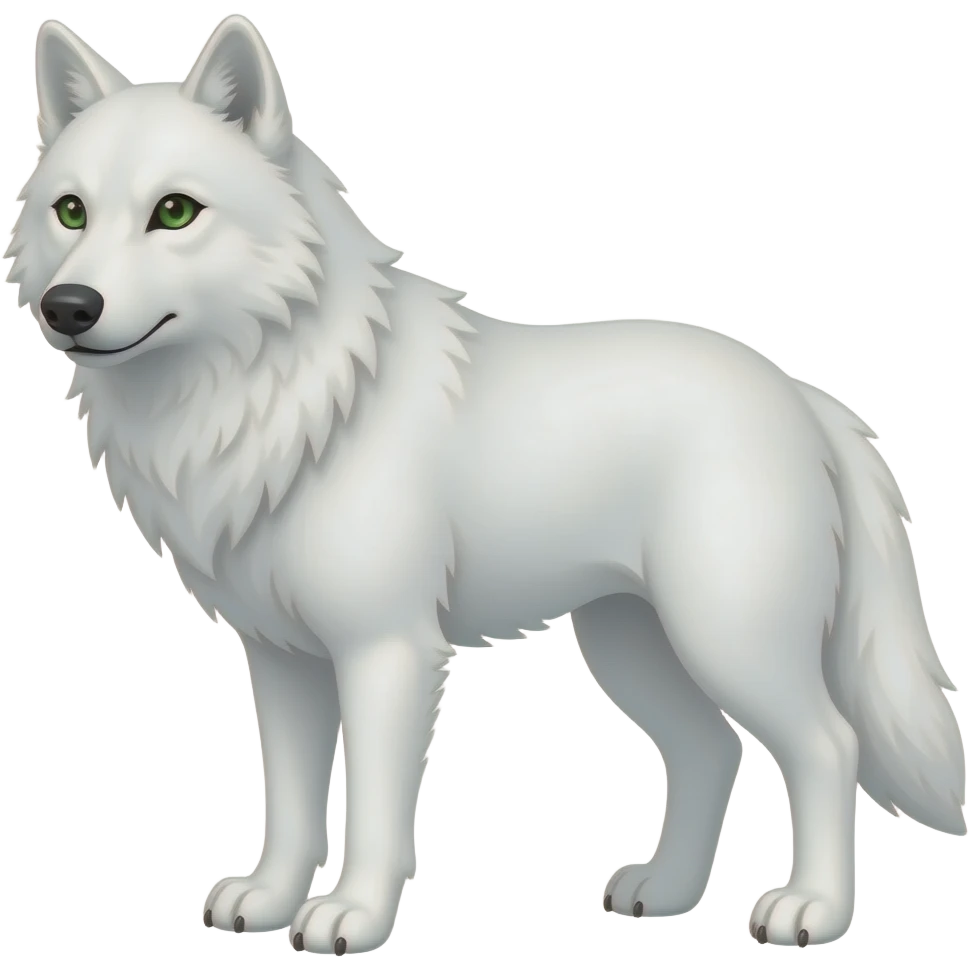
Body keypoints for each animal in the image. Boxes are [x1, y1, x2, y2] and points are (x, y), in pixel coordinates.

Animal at [6, 13, 965, 955]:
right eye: (70, 211)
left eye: (174, 212)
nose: (69, 307)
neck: (290, 393)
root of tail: (805, 396)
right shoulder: (281, 659)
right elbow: (288, 806)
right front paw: (270, 901)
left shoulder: (385, 652)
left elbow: (375, 810)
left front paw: (351, 917)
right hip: (631, 647)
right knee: (710, 751)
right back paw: (665, 893)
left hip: (729, 638)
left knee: (826, 745)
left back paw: (811, 911)